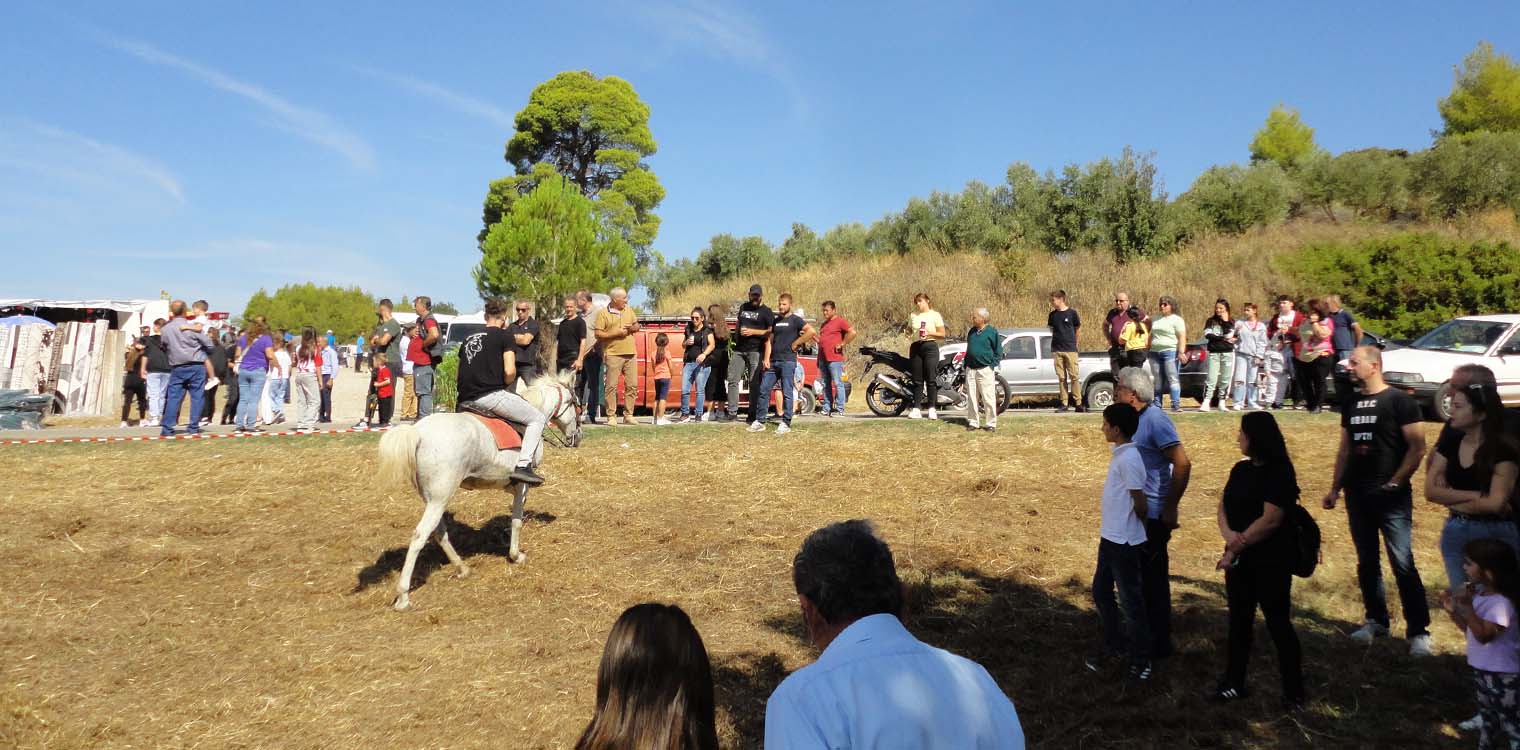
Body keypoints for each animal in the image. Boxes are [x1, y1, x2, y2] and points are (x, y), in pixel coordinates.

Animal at [378, 371, 580, 611]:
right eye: (576, 404)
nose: (577, 437)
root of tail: (418, 432)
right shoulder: (522, 486)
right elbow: (517, 521)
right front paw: (516, 555)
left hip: (434, 499)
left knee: (439, 532)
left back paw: (462, 568)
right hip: (439, 498)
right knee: (420, 536)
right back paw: (403, 596)